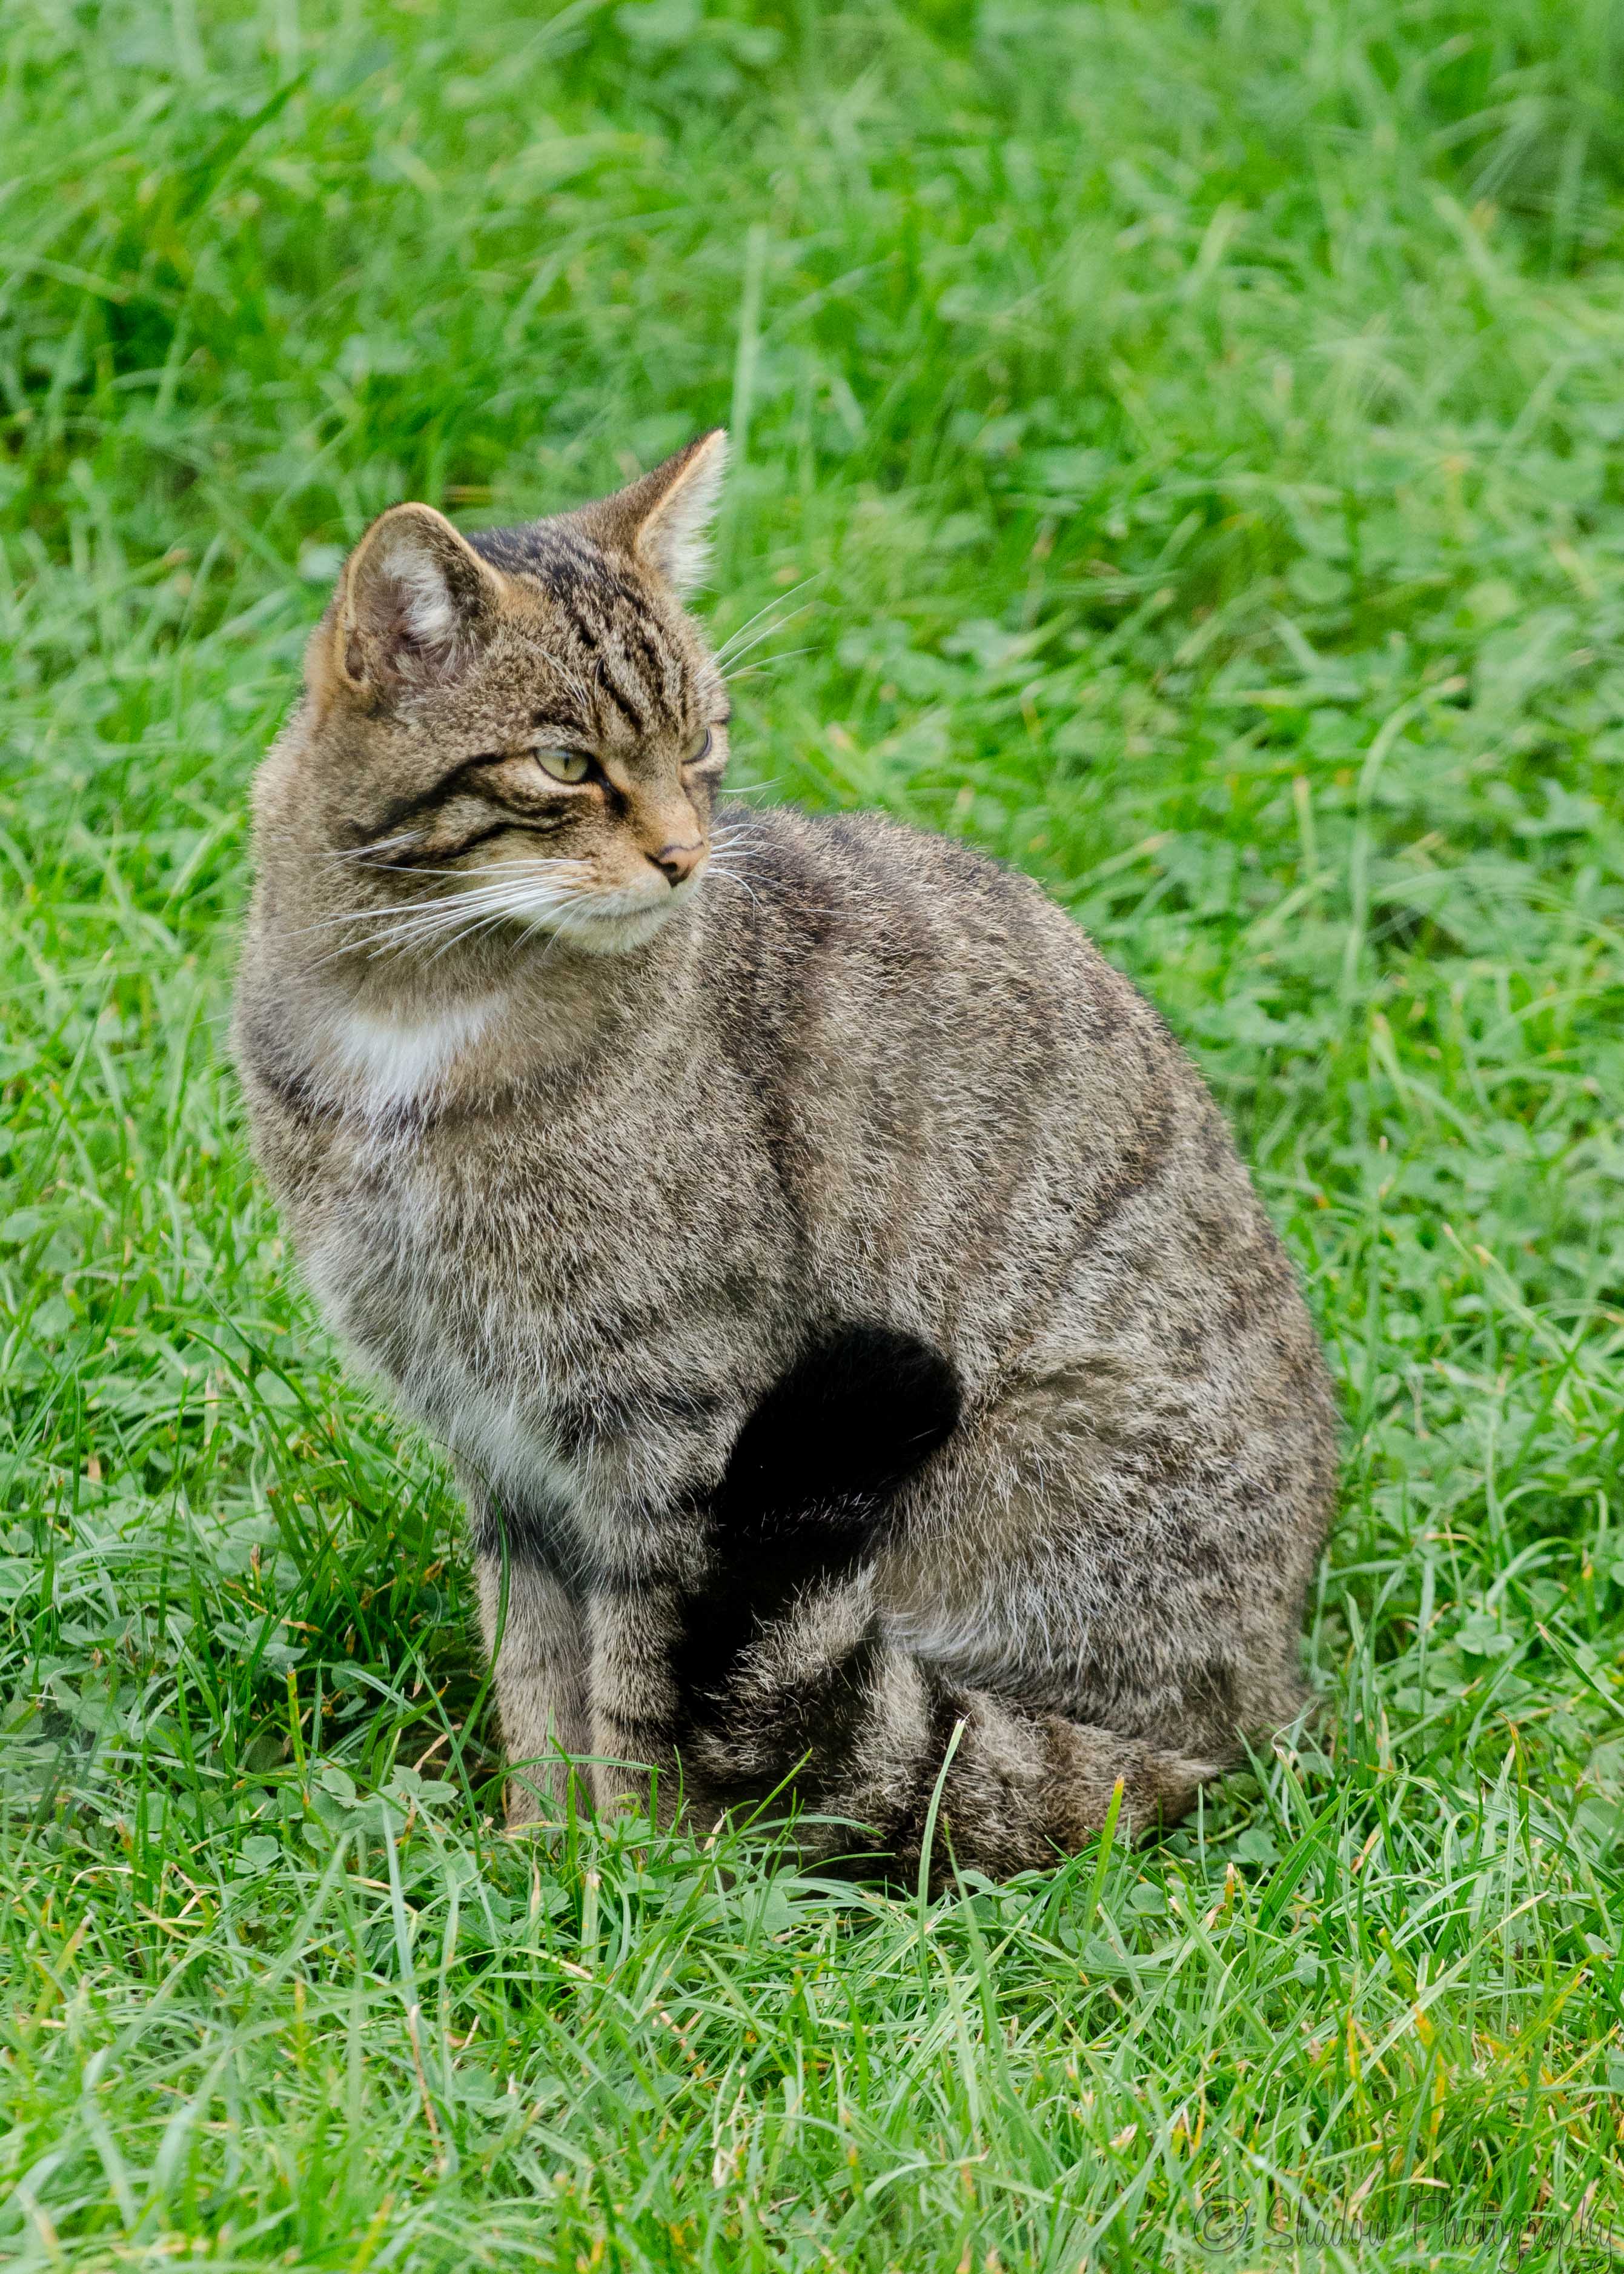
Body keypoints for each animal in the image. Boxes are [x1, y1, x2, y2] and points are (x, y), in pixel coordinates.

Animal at [233, 430, 1338, 1881]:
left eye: (699, 745)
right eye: (566, 762)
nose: (683, 855)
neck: (412, 1017)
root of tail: (1257, 1699)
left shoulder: (669, 1425)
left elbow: (636, 1679)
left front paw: (632, 1875)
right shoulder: (492, 1432)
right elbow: (533, 1668)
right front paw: (538, 1851)